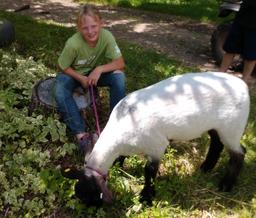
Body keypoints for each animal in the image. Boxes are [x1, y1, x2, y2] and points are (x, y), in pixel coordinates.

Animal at [62, 71, 250, 206]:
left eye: (90, 196)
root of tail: (244, 86)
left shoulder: (156, 146)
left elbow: (149, 172)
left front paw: (146, 197)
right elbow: (122, 158)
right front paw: (119, 168)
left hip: (231, 128)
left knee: (239, 153)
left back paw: (226, 185)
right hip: (215, 126)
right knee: (217, 144)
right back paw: (206, 168)